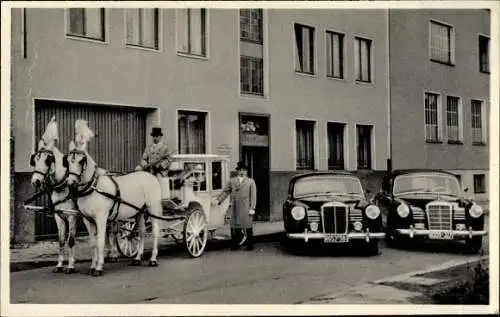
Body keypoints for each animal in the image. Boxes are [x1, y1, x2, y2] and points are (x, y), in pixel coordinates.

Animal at [30, 139, 120, 272]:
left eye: (48, 160)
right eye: (35, 160)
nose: (35, 181)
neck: (63, 187)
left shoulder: (72, 216)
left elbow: (71, 241)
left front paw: (71, 266)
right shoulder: (59, 217)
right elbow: (61, 241)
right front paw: (59, 265)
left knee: (113, 231)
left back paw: (114, 254)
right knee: (107, 231)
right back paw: (108, 253)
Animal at [64, 139, 162, 276]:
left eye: (81, 161)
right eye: (67, 161)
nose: (71, 184)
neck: (94, 187)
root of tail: (150, 175)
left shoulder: (101, 218)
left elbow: (100, 242)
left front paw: (99, 267)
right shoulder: (88, 220)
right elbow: (92, 243)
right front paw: (92, 267)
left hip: (153, 208)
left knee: (155, 231)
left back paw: (153, 259)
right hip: (139, 211)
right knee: (141, 232)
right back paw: (137, 258)